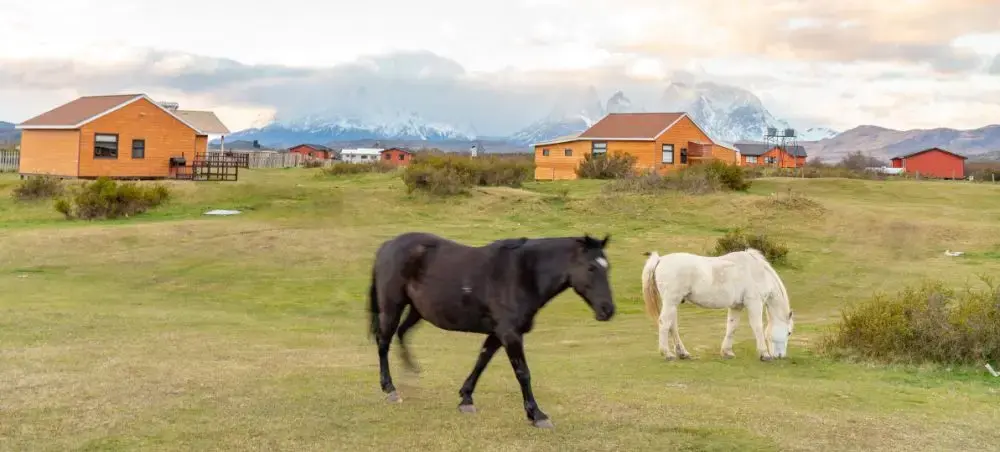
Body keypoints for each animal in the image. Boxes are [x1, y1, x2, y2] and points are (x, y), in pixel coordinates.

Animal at [367, 231, 615, 429]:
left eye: (607, 267)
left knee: (401, 334)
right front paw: (537, 415)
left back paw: (410, 374)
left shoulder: (498, 333)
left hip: (417, 311)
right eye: (591, 267)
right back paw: (390, 389)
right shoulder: (510, 334)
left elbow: (482, 361)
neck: (523, 274)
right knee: (383, 342)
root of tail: (388, 245)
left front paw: (466, 399)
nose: (608, 310)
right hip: (392, 307)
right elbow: (522, 373)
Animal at [640, 247, 794, 361]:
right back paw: (667, 353)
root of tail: (660, 260)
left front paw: (727, 352)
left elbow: (732, 327)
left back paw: (682, 353)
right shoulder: (754, 304)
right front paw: (764, 354)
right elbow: (757, 327)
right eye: (789, 332)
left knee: (672, 325)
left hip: (672, 303)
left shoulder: (736, 306)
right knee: (664, 323)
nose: (780, 356)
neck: (757, 272)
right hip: (671, 301)